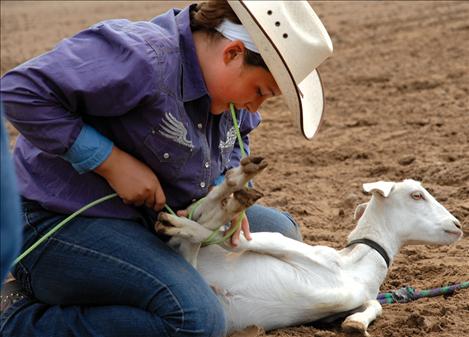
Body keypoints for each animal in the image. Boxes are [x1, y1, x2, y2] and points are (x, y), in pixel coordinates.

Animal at [156, 157, 460, 334]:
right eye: (417, 195)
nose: (457, 224)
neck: (355, 266)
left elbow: (374, 305)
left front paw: (355, 324)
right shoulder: (293, 248)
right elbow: (237, 240)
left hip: (191, 263)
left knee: (196, 229)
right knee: (201, 222)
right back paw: (233, 188)